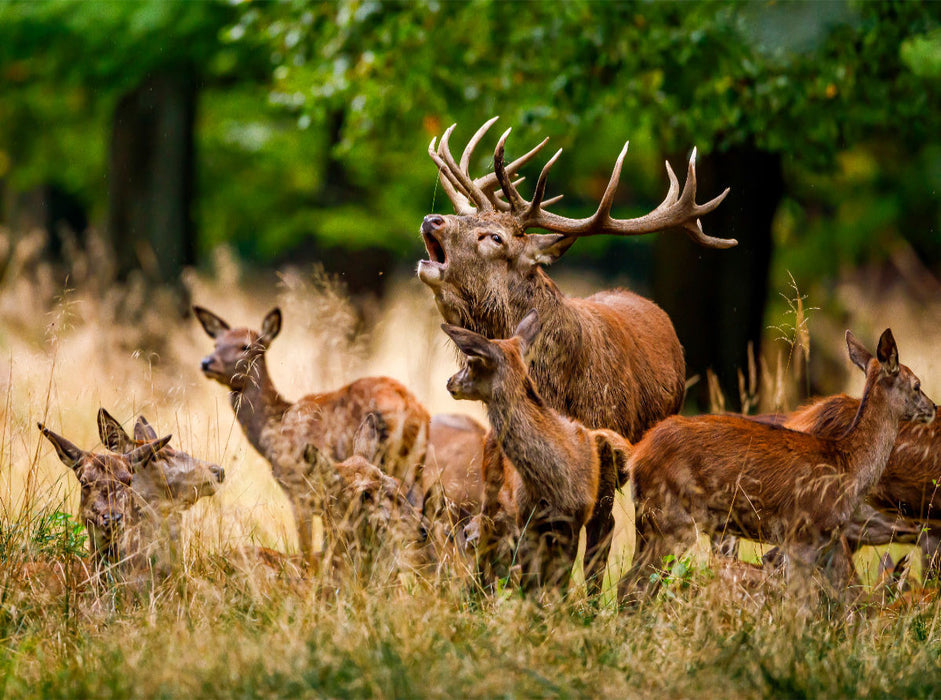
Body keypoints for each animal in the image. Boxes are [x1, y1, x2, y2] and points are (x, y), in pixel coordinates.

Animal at [194, 305, 430, 565]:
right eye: (216, 343)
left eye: (245, 346)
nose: (206, 362)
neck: (274, 430)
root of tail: (415, 411)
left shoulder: (299, 492)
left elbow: (307, 548)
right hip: (415, 468)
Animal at [443, 310, 631, 591]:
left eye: (471, 360)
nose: (450, 381)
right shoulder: (527, 520)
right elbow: (530, 581)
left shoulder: (572, 521)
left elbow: (558, 582)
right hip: (492, 493)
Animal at [621, 329, 936, 602]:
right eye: (917, 384)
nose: (933, 407)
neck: (848, 464)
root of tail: (636, 455)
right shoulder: (802, 534)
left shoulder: (830, 539)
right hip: (670, 519)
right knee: (634, 586)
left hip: (651, 523)